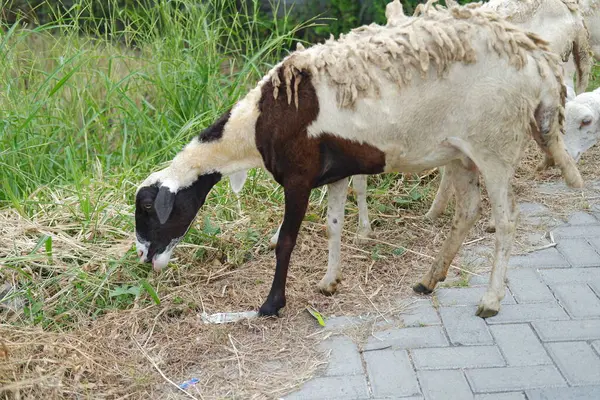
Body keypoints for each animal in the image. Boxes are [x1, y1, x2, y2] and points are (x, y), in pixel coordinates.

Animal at [135, 0, 580, 318]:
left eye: (149, 208)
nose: (145, 258)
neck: (256, 126)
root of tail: (537, 60)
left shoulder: (298, 177)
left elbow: (287, 241)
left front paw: (271, 305)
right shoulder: (334, 174)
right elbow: (333, 227)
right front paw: (329, 282)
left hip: (495, 145)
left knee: (505, 219)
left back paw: (489, 300)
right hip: (462, 152)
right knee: (467, 211)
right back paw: (429, 280)